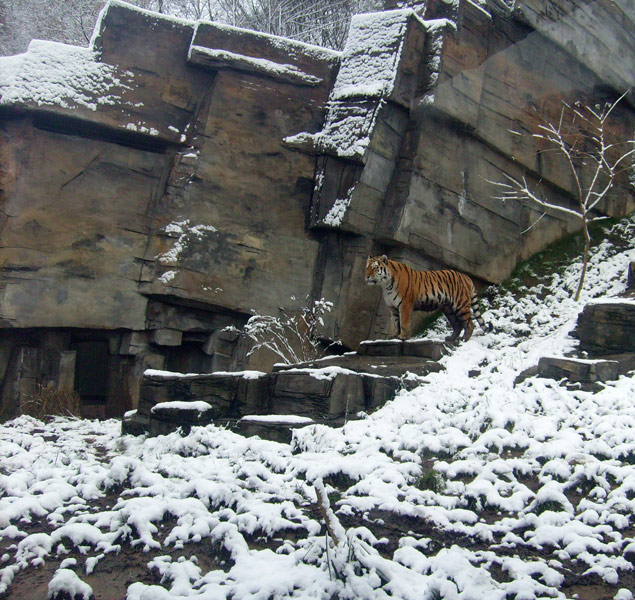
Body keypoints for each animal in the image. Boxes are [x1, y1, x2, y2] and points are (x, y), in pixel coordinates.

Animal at [366, 254, 494, 342]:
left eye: (375, 268)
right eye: (367, 267)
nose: (366, 276)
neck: (385, 285)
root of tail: (466, 276)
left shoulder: (405, 305)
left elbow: (404, 322)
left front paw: (403, 337)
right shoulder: (393, 308)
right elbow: (396, 322)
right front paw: (395, 336)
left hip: (460, 305)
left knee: (469, 324)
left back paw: (463, 339)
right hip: (448, 309)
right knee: (457, 325)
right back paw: (450, 338)